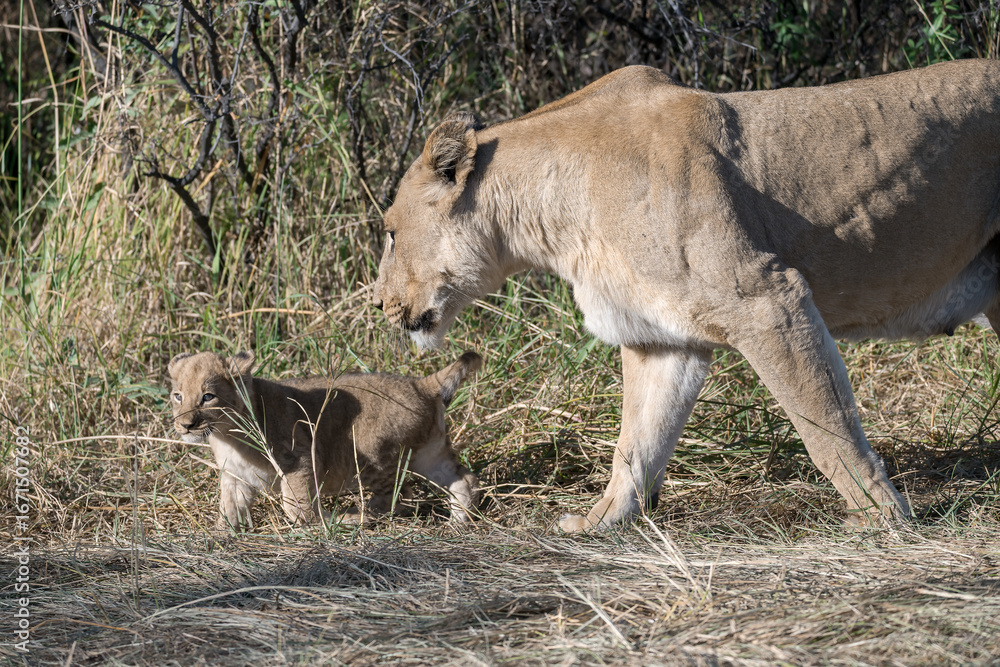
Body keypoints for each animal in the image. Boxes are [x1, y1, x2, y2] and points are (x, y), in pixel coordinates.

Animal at [167, 350, 482, 529]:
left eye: (208, 397)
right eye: (178, 396)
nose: (185, 425)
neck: (226, 435)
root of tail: (421, 384)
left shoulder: (300, 458)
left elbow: (294, 505)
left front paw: (318, 524)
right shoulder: (234, 474)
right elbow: (229, 507)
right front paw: (223, 535)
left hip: (370, 453)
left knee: (398, 495)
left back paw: (355, 516)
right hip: (429, 453)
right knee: (464, 479)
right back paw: (458, 523)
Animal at [372, 59, 1000, 532]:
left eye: (391, 232)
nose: (378, 305)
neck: (552, 213)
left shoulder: (769, 299)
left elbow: (826, 423)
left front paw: (883, 516)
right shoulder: (661, 340)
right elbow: (637, 444)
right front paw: (600, 522)